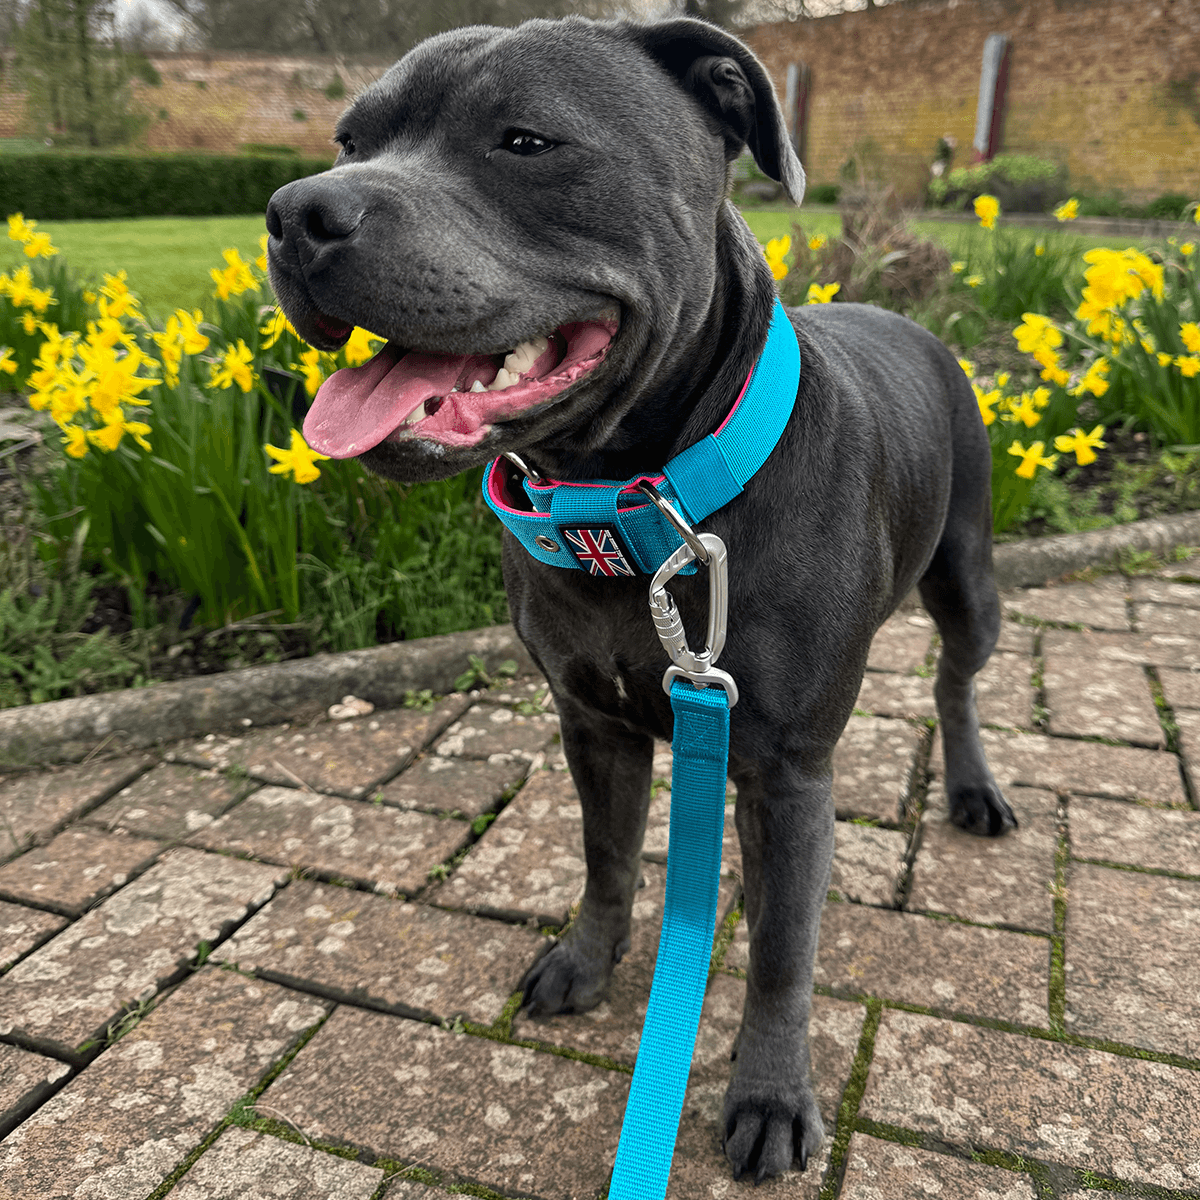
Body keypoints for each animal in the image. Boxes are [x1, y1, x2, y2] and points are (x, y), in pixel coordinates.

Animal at [267, 16, 1017, 1180]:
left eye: (525, 140)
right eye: (350, 140)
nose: (296, 212)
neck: (640, 506)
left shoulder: (786, 768)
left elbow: (782, 955)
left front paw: (769, 1095)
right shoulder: (594, 722)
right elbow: (609, 855)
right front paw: (588, 960)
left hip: (969, 576)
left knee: (955, 680)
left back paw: (972, 787)